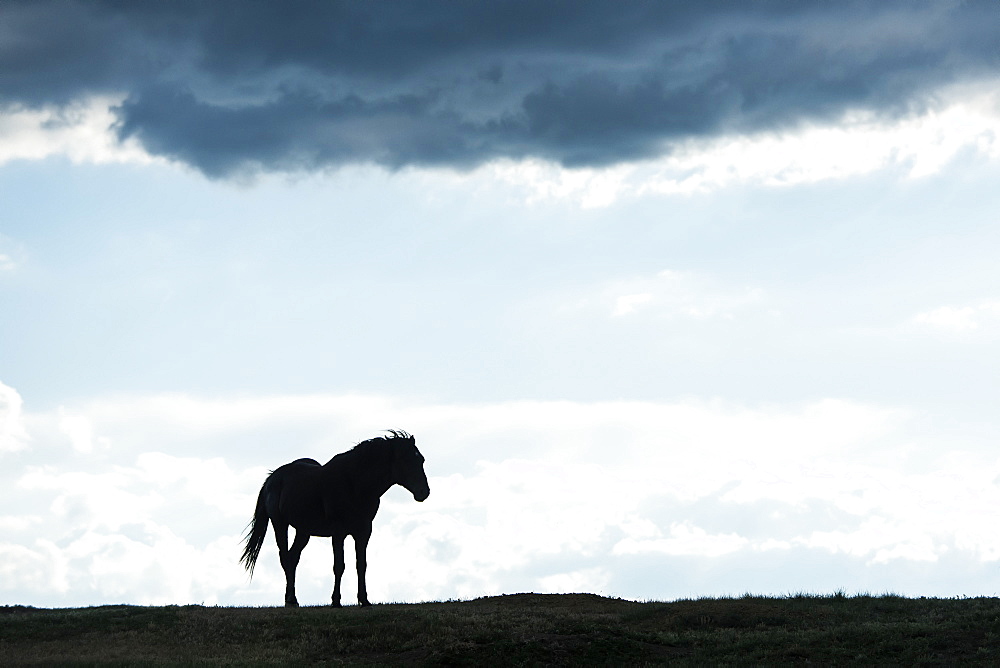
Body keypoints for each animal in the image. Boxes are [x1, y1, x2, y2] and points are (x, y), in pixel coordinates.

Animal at [244, 430, 432, 608]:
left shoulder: (363, 532)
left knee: (293, 557)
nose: (424, 492)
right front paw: (336, 601)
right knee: (284, 556)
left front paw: (364, 600)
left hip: (303, 531)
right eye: (406, 459)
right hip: (280, 524)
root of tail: (272, 478)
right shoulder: (338, 532)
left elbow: (361, 565)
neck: (354, 484)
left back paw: (292, 599)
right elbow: (339, 566)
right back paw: (291, 599)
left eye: (421, 460)